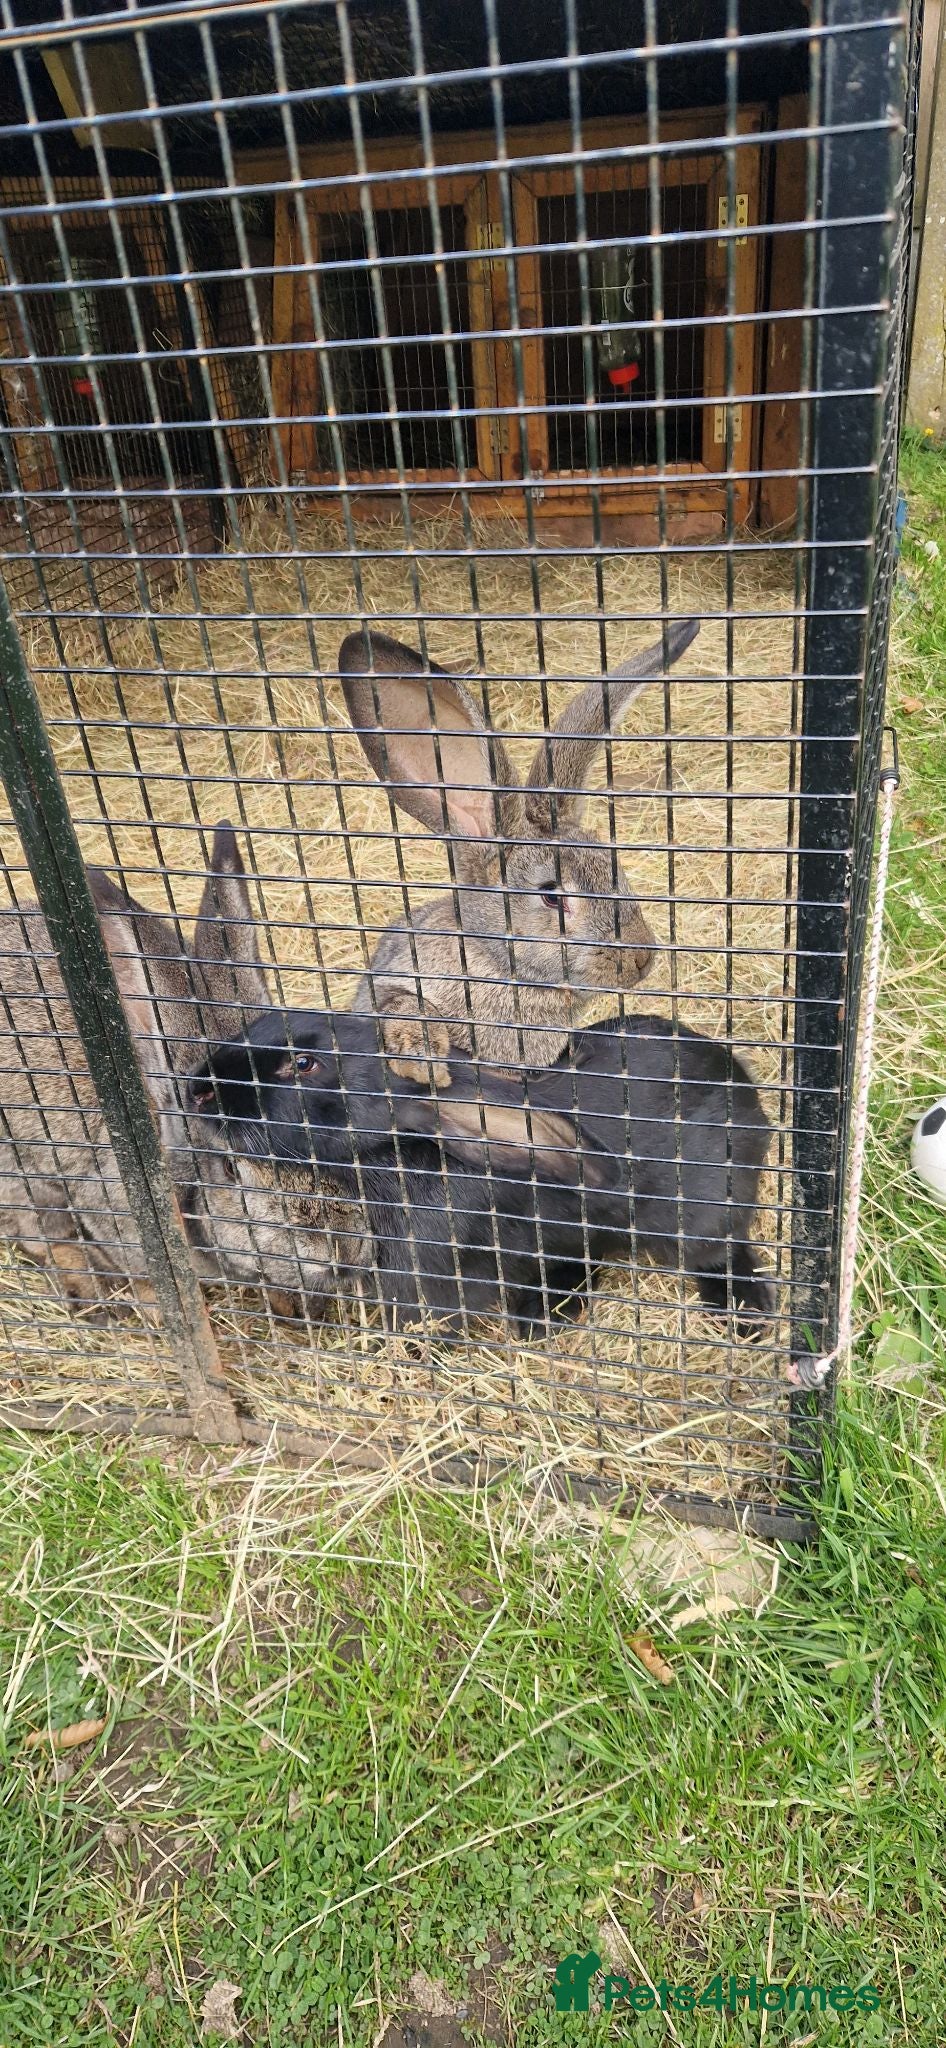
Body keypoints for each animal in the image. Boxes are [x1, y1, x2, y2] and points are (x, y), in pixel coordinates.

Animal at [185, 1004, 774, 1337]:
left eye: (304, 1065)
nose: (197, 1088)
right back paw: (541, 1315)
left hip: (699, 1214)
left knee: (720, 1250)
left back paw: (745, 1314)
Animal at [339, 616, 700, 1082]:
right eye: (551, 896)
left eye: (614, 865)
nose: (642, 958)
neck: (500, 966)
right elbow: (401, 1005)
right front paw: (422, 1062)